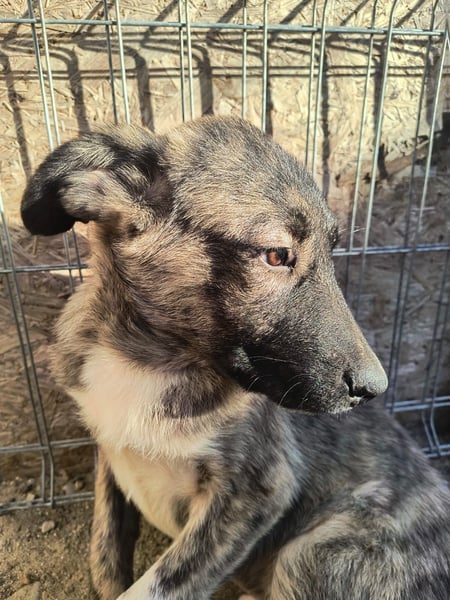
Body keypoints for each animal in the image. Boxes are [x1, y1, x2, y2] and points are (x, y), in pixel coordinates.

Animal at [21, 117, 450, 599]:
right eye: (277, 254)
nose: (374, 389)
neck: (150, 360)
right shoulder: (108, 452)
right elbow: (106, 552)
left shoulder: (257, 489)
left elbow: (156, 585)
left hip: (314, 552)